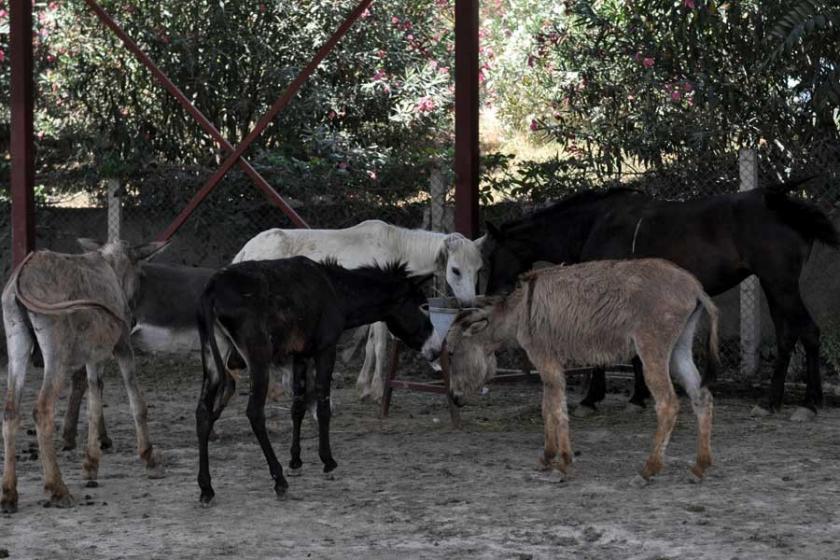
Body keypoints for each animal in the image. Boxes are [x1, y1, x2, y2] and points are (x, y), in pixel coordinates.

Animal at [235, 219, 486, 398]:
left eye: (478, 270)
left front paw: (363, 385)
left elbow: (370, 345)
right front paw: (376, 390)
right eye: (455, 270)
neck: (395, 248)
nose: (467, 305)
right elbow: (379, 346)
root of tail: (247, 249)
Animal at [482, 178, 836, 416]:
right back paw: (772, 401)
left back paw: (809, 403)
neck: (593, 225)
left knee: (808, 332)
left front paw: (591, 398)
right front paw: (638, 397)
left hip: (780, 285)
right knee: (788, 335)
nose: (490, 293)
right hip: (773, 286)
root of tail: (780, 202)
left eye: (492, 254)